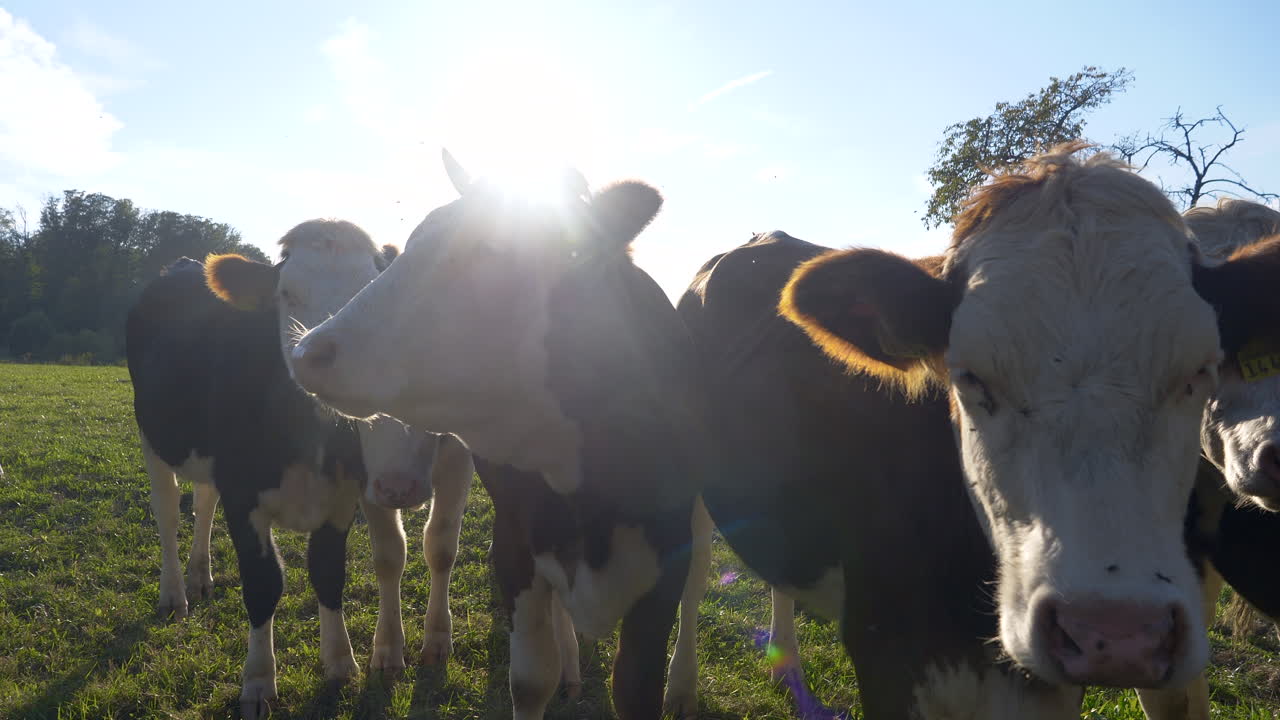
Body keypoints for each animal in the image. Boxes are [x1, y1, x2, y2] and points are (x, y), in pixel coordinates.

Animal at [126, 220, 474, 719]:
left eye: (368, 289)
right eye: (285, 294)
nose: (315, 354)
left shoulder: (341, 498)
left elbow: (329, 572)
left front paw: (340, 663)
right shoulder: (244, 495)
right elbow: (263, 583)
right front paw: (257, 681)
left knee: (203, 505)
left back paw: (200, 575)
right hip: (152, 435)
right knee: (169, 510)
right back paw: (174, 592)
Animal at [287, 153, 705, 720]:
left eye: (490, 251)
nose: (308, 351)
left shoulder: (662, 571)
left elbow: (638, 687)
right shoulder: (516, 544)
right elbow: (530, 680)